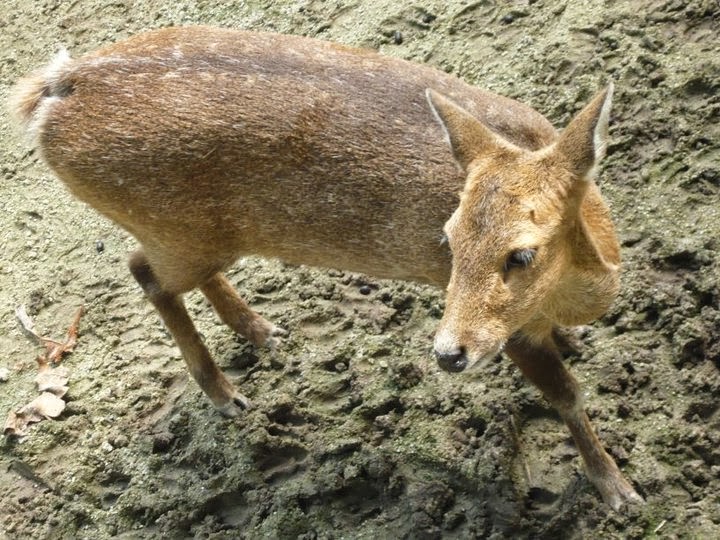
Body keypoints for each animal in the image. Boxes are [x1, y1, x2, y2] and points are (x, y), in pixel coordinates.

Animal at [9, 26, 640, 510]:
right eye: (449, 238)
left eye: (522, 253)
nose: (446, 353)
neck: (591, 280)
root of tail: (52, 90)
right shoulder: (512, 333)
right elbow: (567, 395)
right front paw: (617, 491)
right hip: (171, 229)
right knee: (142, 271)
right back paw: (226, 394)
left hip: (197, 235)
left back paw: (263, 332)